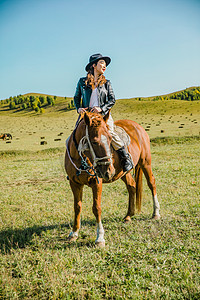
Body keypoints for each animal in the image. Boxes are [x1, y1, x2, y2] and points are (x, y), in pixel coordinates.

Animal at [65, 110, 160, 246]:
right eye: (94, 141)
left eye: (110, 139)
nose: (108, 171)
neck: (80, 159)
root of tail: (138, 126)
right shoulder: (74, 183)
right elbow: (77, 207)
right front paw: (74, 233)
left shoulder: (96, 183)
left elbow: (96, 208)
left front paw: (100, 238)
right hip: (124, 173)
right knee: (132, 186)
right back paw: (128, 215)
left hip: (145, 162)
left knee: (151, 183)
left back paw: (156, 213)